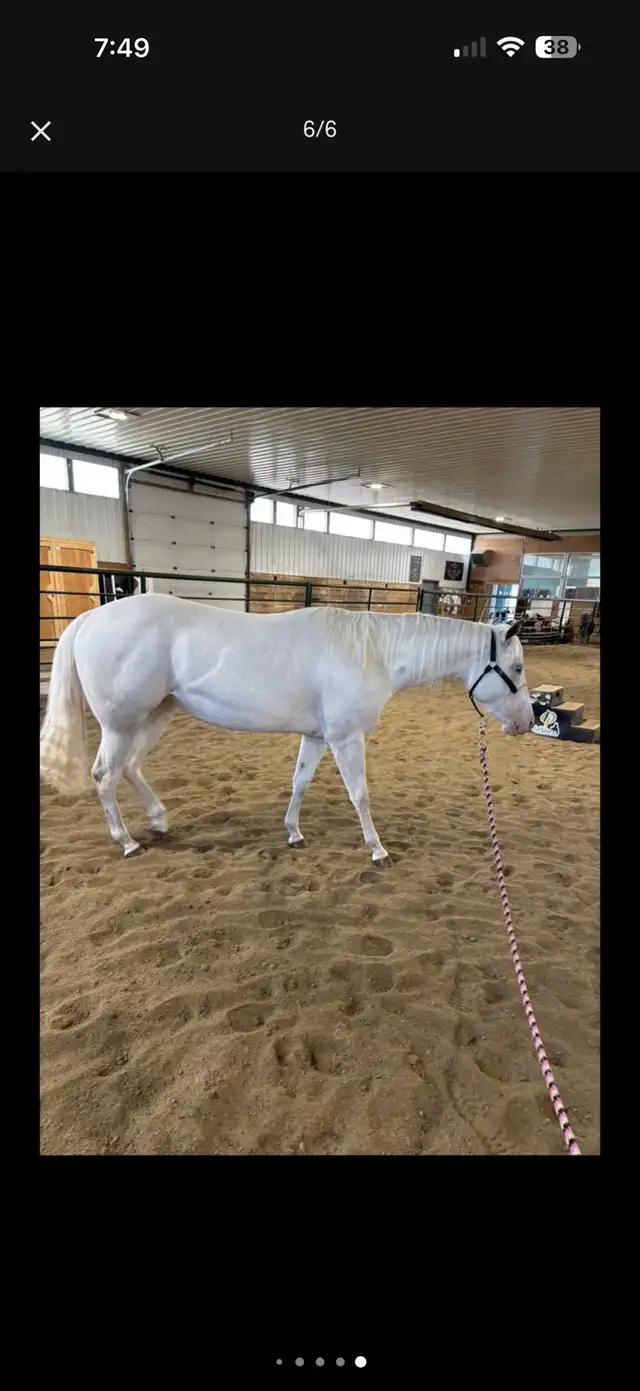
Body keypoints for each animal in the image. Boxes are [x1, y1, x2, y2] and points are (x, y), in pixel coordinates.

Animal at [40, 594, 534, 863]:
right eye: (516, 667)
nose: (527, 723)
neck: (370, 651)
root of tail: (89, 619)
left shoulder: (316, 737)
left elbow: (300, 781)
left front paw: (294, 833)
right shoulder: (346, 738)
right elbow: (360, 795)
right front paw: (378, 849)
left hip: (157, 714)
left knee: (130, 768)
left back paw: (159, 820)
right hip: (120, 724)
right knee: (105, 775)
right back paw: (126, 842)